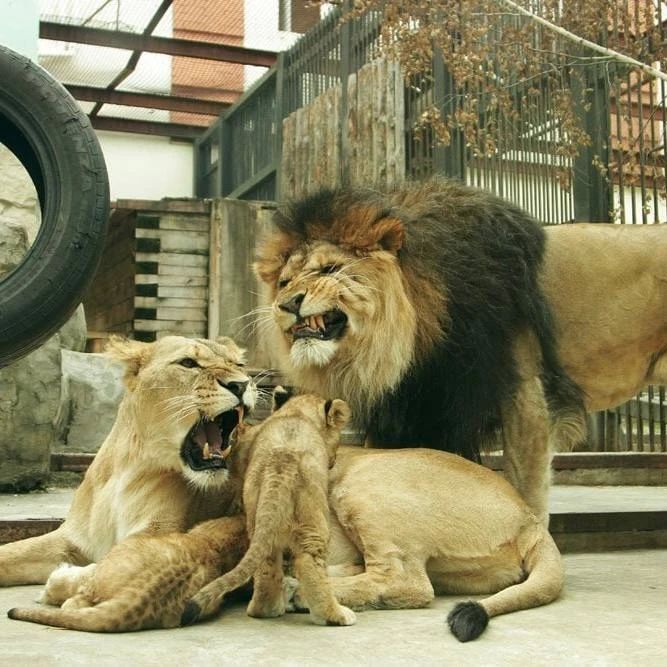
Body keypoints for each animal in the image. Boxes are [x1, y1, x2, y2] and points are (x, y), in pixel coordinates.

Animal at [0, 335, 256, 587]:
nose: (242, 384)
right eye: (188, 363)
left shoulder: (155, 532)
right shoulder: (73, 538)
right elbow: (12, 551)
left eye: (239, 365)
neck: (127, 466)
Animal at [253, 177, 667, 522]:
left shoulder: (524, 393)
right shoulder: (418, 404)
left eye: (329, 270)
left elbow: (526, 487)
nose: (287, 304)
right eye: (285, 281)